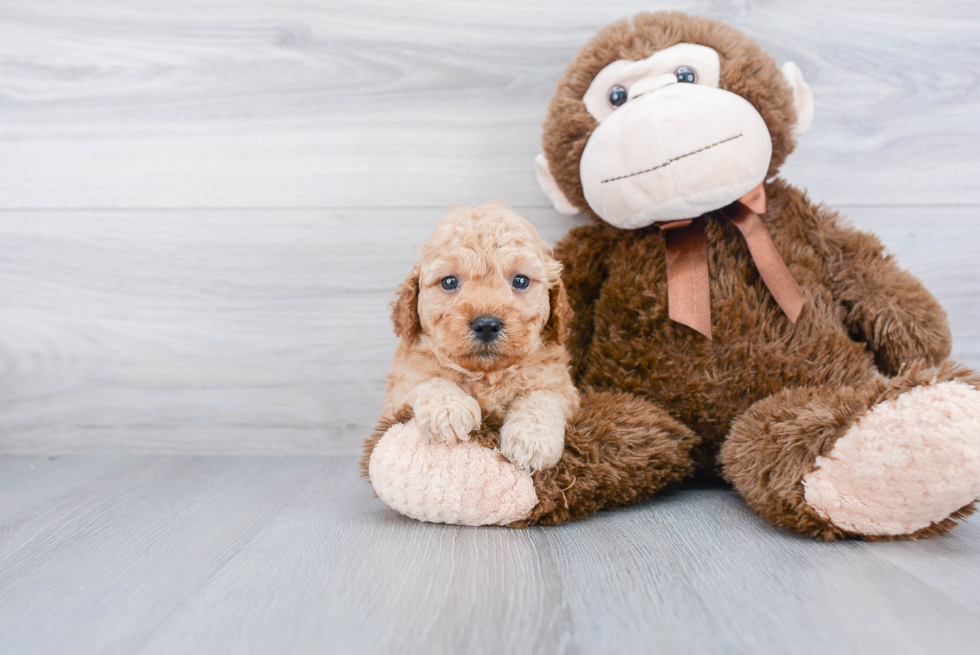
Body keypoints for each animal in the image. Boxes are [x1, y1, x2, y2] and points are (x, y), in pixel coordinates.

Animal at [380, 202, 580, 468]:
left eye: (520, 280)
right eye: (449, 281)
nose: (486, 325)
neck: (486, 375)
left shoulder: (560, 385)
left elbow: (542, 397)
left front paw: (533, 439)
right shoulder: (398, 395)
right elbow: (428, 381)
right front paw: (449, 409)